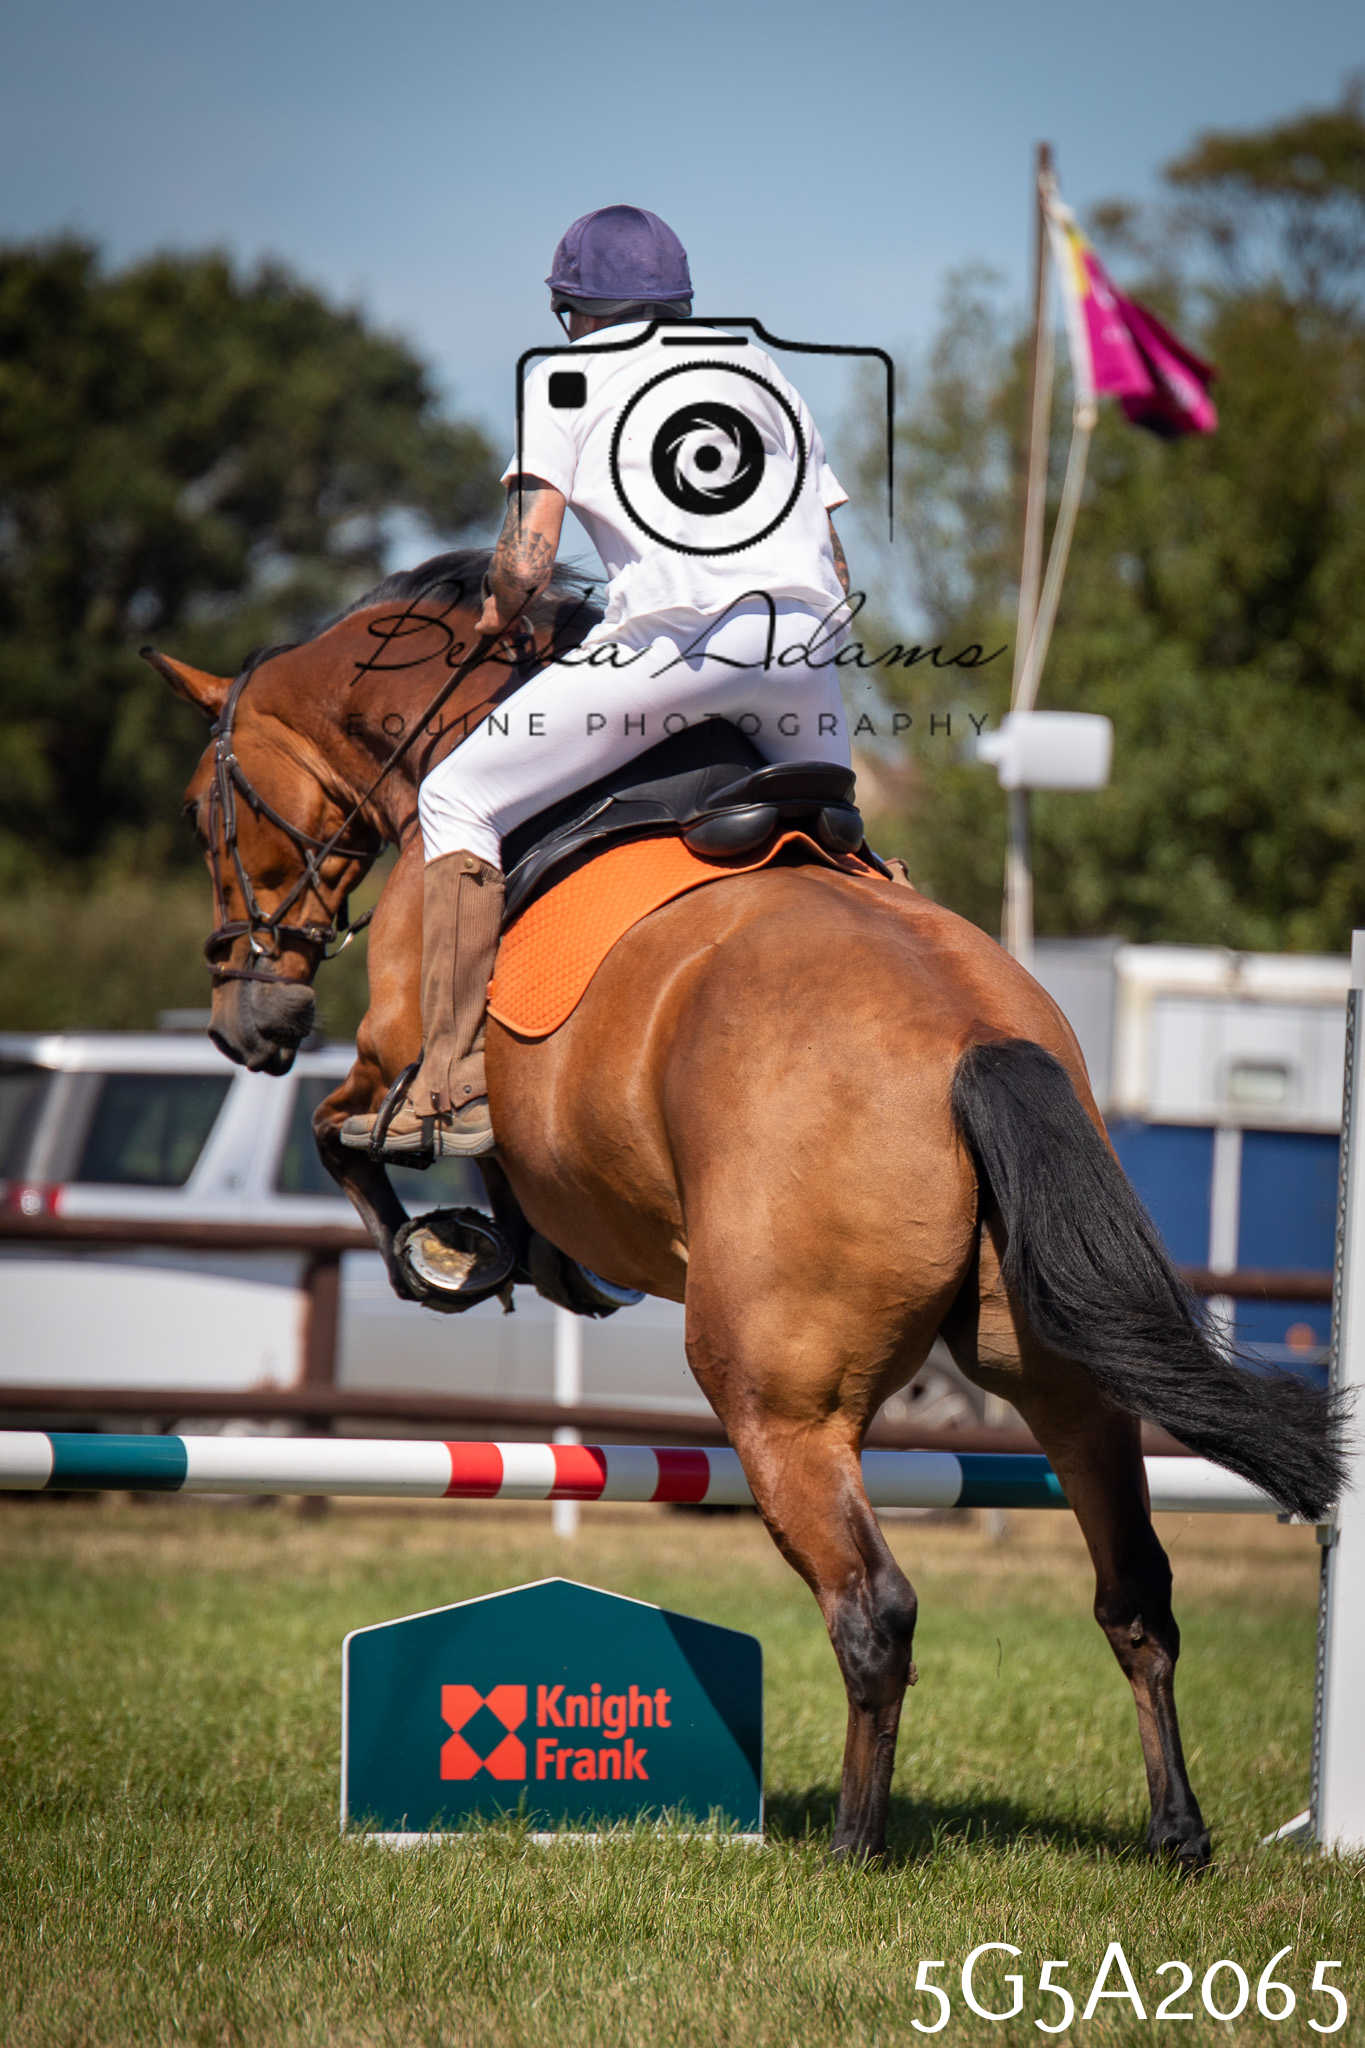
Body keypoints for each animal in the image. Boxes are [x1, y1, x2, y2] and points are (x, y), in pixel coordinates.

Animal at [149, 548, 1343, 1867]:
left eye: (205, 814)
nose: (249, 1025)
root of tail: (974, 1038)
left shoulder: (393, 1056)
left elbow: (355, 1140)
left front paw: (447, 1253)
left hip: (780, 1398)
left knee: (874, 1606)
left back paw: (856, 1846)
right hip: (1056, 1371)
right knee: (1134, 1590)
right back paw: (1177, 1830)